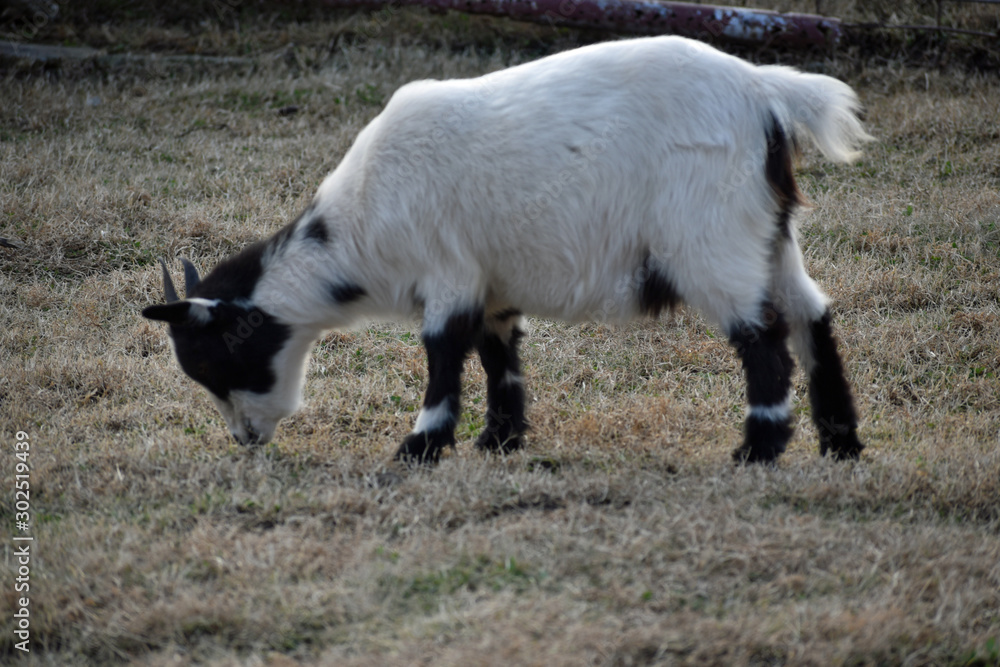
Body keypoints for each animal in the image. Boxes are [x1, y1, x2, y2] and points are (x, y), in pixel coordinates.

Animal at [143, 36, 872, 464]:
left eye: (215, 358)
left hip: (711, 239)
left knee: (763, 336)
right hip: (768, 235)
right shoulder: (491, 284)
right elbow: (498, 354)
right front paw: (500, 439)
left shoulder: (448, 271)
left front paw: (419, 447)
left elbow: (442, 354)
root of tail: (766, 94)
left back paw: (759, 447)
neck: (359, 229)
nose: (245, 440)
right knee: (811, 315)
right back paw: (840, 442)